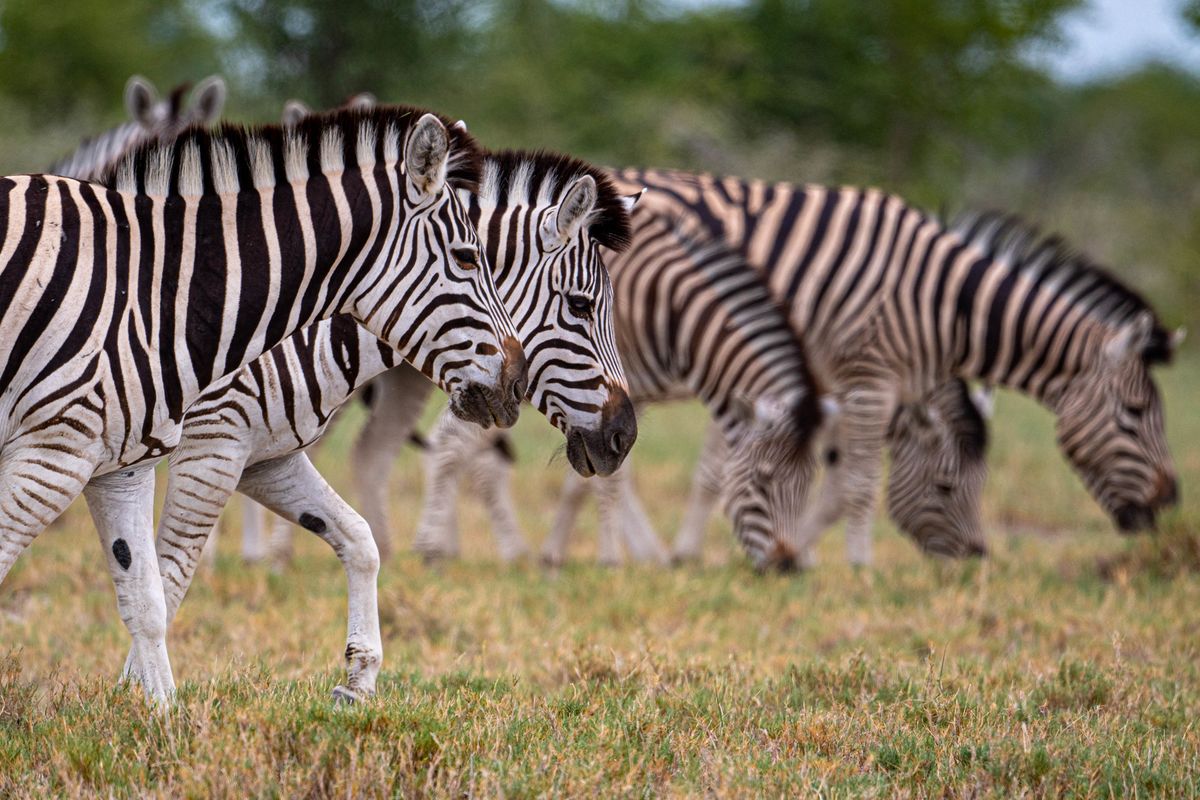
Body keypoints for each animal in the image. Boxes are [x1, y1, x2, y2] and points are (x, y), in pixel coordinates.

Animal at [0, 104, 525, 705]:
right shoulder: (62, 453)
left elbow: (149, 597)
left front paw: (157, 714)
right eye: (467, 257)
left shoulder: (134, 463)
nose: (515, 383)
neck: (158, 295)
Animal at [141, 149, 643, 700]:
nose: (625, 437)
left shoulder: (260, 455)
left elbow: (357, 538)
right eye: (579, 306)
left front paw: (357, 682)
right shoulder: (214, 439)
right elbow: (165, 579)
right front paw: (142, 695)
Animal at [412, 206, 835, 568]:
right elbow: (608, 479)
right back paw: (440, 546)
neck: (668, 309)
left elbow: (597, 475)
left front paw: (562, 553)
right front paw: (607, 558)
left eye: (808, 485)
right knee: (452, 447)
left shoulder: (622, 397)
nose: (787, 566)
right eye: (763, 480)